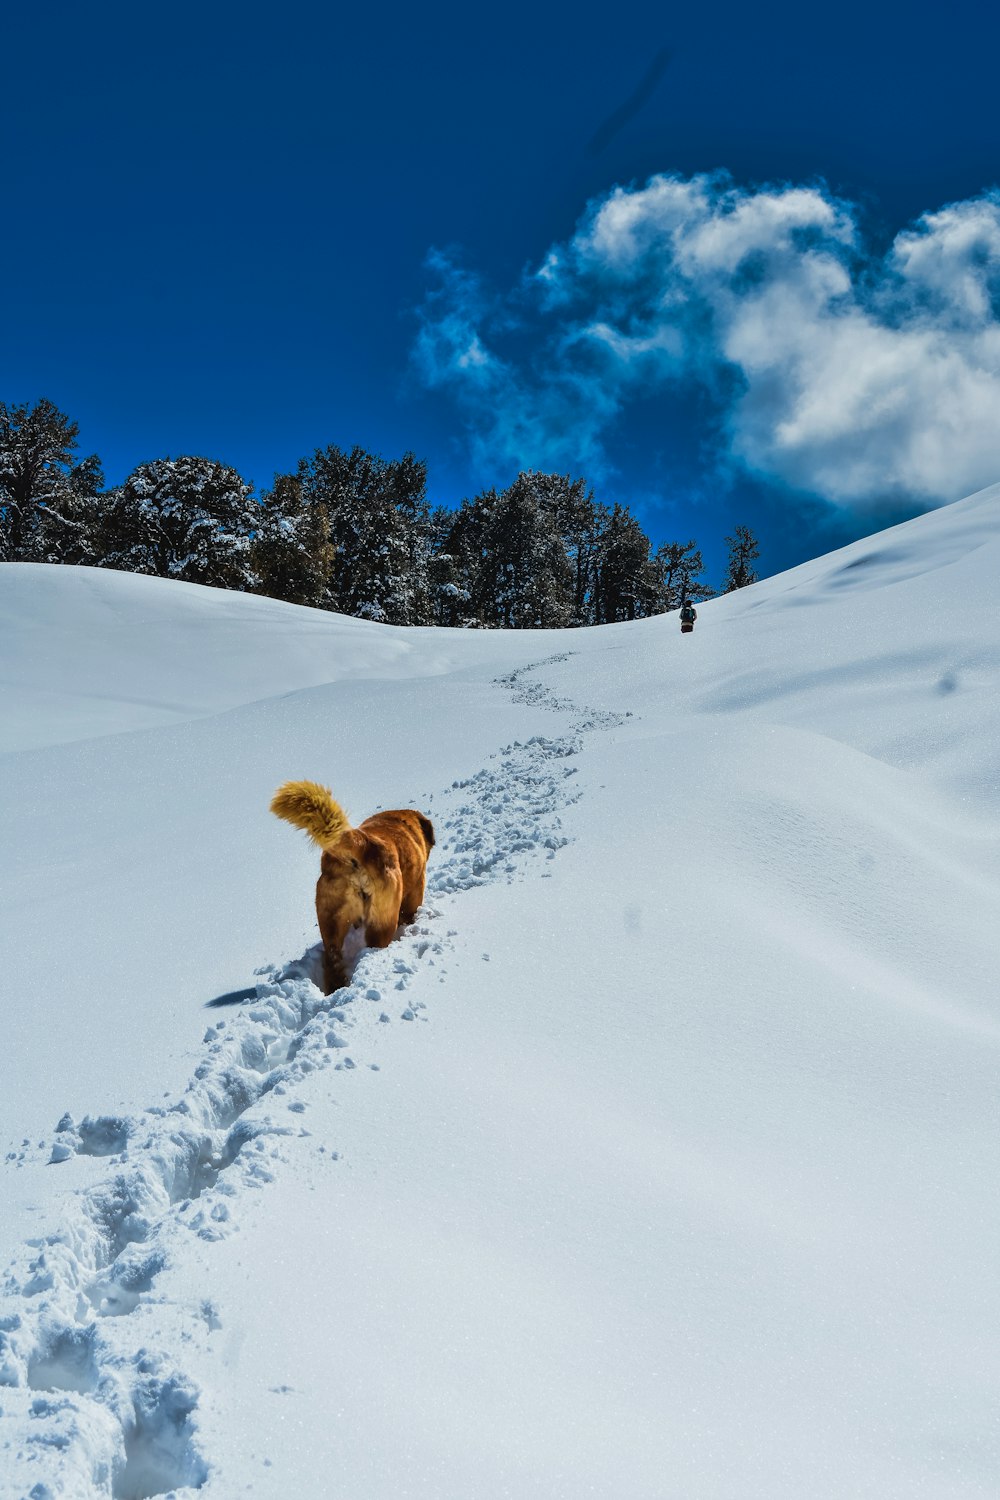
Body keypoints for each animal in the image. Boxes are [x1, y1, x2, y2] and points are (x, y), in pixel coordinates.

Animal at [269, 786, 434, 996]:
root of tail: (363, 843)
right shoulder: (416, 888)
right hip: (383, 918)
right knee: (372, 947)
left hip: (331, 916)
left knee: (332, 958)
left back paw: (336, 986)